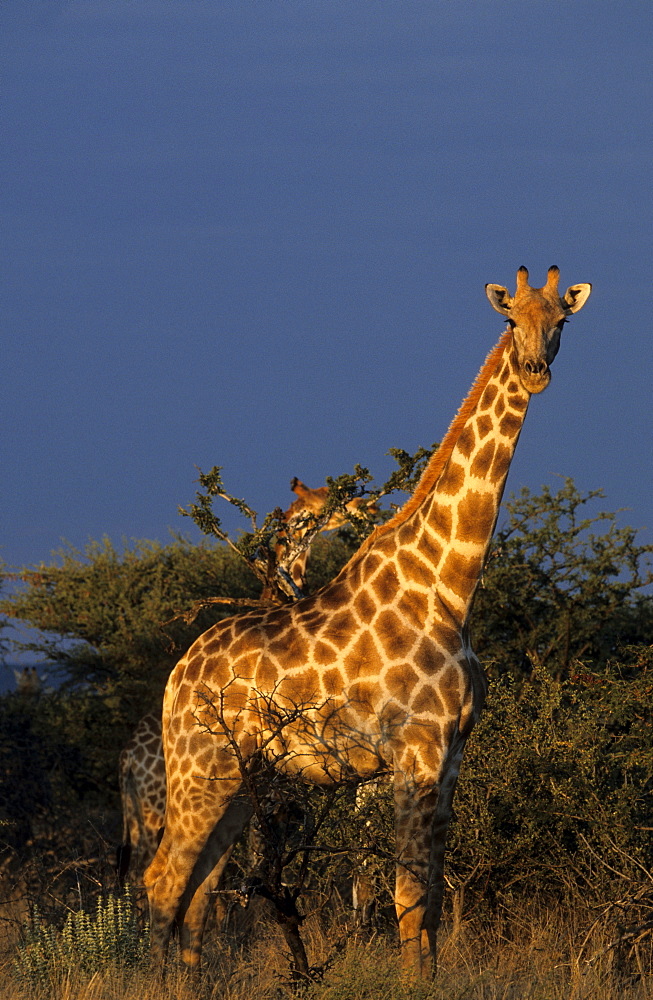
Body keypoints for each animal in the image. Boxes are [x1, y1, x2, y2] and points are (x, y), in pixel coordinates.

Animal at [144, 268, 592, 976]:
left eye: (561, 322)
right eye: (509, 319)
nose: (535, 371)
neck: (449, 587)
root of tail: (175, 677)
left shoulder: (452, 754)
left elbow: (430, 898)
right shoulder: (415, 749)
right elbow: (406, 897)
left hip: (242, 779)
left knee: (200, 892)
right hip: (201, 767)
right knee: (164, 882)